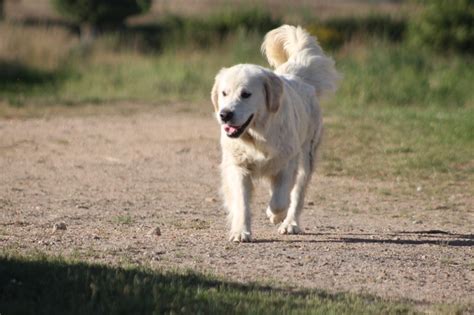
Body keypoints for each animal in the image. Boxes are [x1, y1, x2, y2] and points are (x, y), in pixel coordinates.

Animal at [212, 25, 340, 242]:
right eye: (224, 93)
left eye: (246, 94)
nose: (225, 114)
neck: (257, 136)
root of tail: (297, 77)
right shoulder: (238, 166)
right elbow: (242, 202)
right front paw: (241, 232)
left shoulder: (287, 163)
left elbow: (280, 200)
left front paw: (274, 215)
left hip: (306, 158)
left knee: (296, 195)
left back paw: (290, 224)